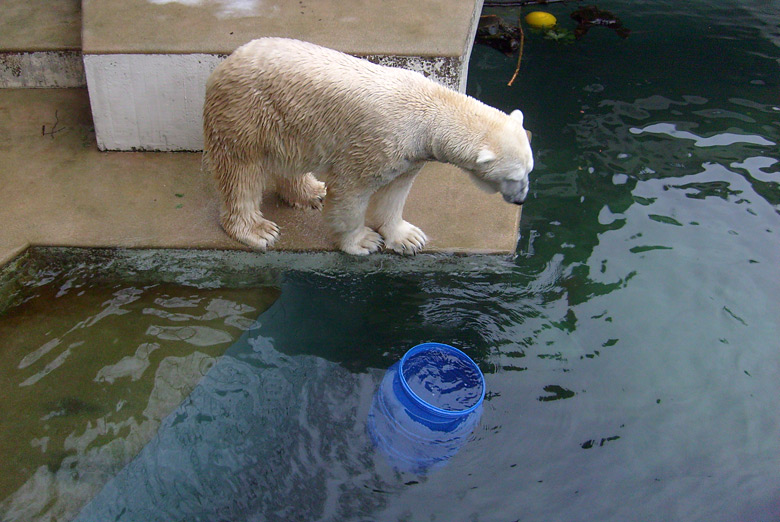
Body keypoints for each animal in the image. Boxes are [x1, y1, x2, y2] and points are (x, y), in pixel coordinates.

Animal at [201, 36, 532, 254]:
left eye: (530, 170)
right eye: (513, 177)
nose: (521, 200)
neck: (429, 111)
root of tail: (225, 62)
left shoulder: (410, 155)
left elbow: (395, 192)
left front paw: (408, 238)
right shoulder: (376, 144)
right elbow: (350, 192)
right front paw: (363, 241)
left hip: (290, 120)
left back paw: (310, 192)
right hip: (246, 111)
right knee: (240, 171)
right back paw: (257, 230)